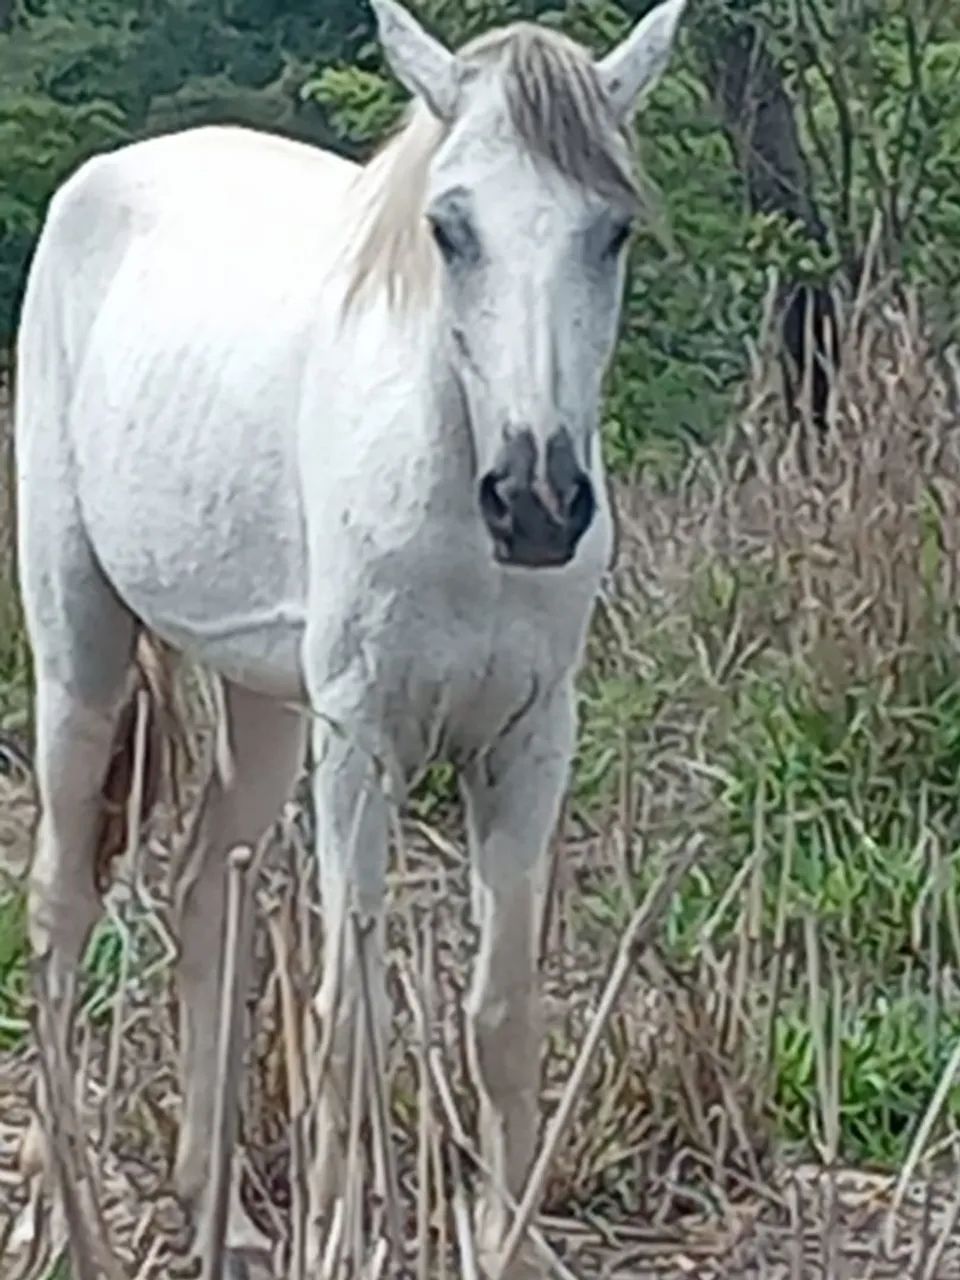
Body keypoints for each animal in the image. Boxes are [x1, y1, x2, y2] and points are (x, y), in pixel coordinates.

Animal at [13, 0, 686, 1274]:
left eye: (613, 229)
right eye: (450, 227)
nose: (536, 502)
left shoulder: (530, 742)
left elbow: (501, 1011)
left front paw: (507, 1240)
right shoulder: (363, 737)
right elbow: (348, 1008)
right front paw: (342, 1235)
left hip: (267, 706)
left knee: (201, 897)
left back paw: (218, 1211)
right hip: (82, 654)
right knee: (59, 909)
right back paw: (59, 1215)